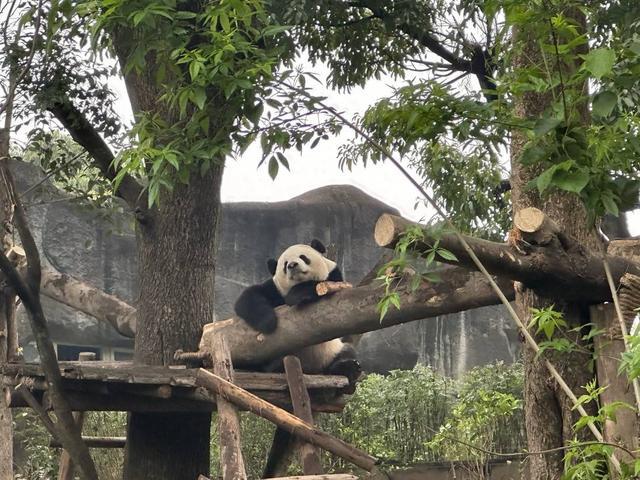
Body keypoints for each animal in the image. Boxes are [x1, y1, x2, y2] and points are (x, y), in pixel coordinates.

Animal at [232, 238, 360, 380]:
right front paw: (268, 322)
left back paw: (349, 367)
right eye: (285, 264)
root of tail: (311, 369)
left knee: (346, 352)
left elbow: (324, 287)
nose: (292, 265)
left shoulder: (333, 278)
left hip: (332, 350)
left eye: (303, 257)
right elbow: (248, 297)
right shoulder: (275, 289)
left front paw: (297, 295)